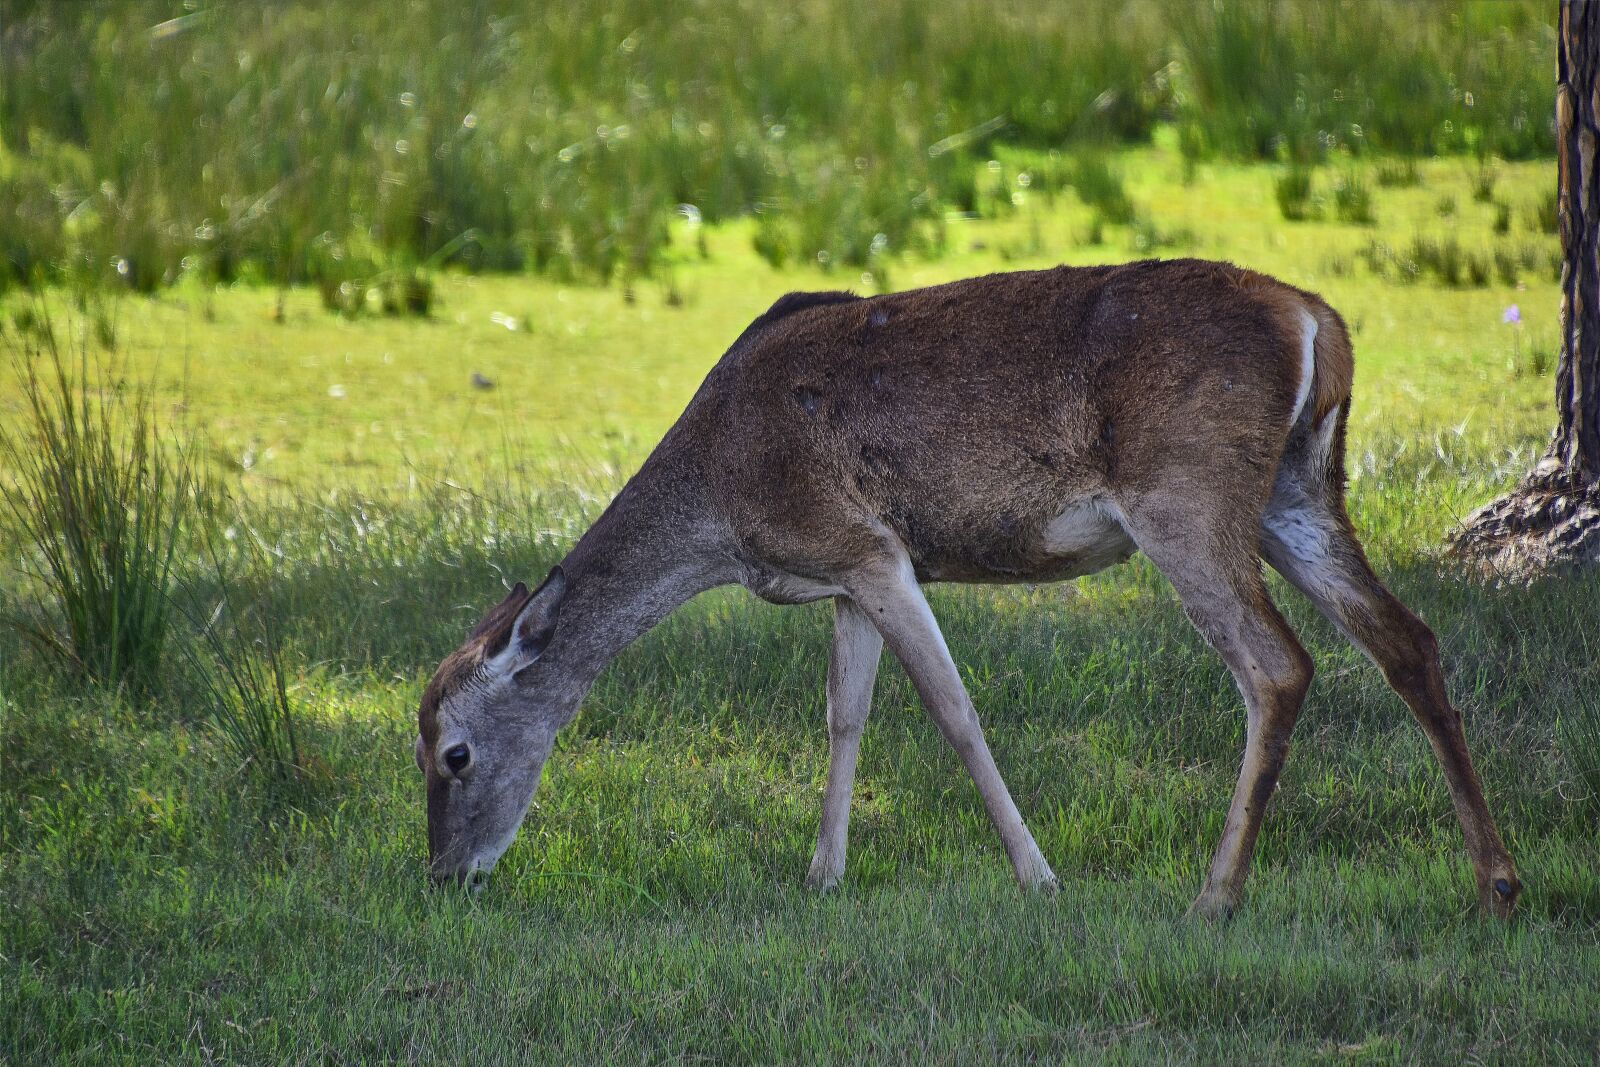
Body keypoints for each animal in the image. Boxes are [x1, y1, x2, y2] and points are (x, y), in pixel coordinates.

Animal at [415, 258, 1520, 919]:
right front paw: (822, 875)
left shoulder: (869, 547)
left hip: (1186, 490)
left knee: (1277, 665)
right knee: (1407, 637)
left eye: (453, 753)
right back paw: (1496, 879)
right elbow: (844, 714)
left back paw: (1214, 894)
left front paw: (1038, 875)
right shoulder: (843, 573)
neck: (723, 510)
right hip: (1299, 486)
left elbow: (952, 709)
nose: (443, 874)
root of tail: (1319, 324)